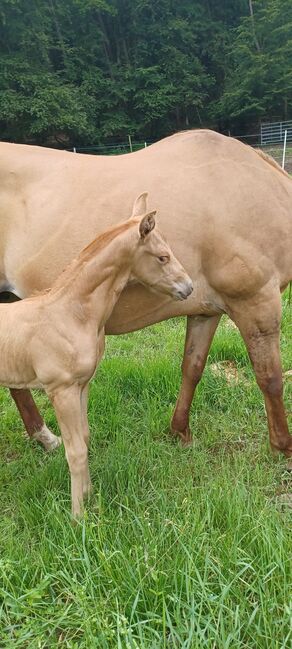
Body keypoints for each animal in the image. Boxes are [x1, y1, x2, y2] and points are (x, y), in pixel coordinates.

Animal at [0, 129, 290, 458]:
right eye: (162, 256)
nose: (186, 286)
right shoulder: (257, 302)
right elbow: (270, 378)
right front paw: (282, 448)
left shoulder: (206, 311)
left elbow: (193, 367)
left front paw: (180, 431)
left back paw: (44, 437)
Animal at [1, 194, 193, 516]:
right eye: (162, 257)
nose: (189, 287)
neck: (71, 313)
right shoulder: (61, 389)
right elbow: (75, 450)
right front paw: (78, 516)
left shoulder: (82, 385)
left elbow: (85, 437)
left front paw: (89, 497)